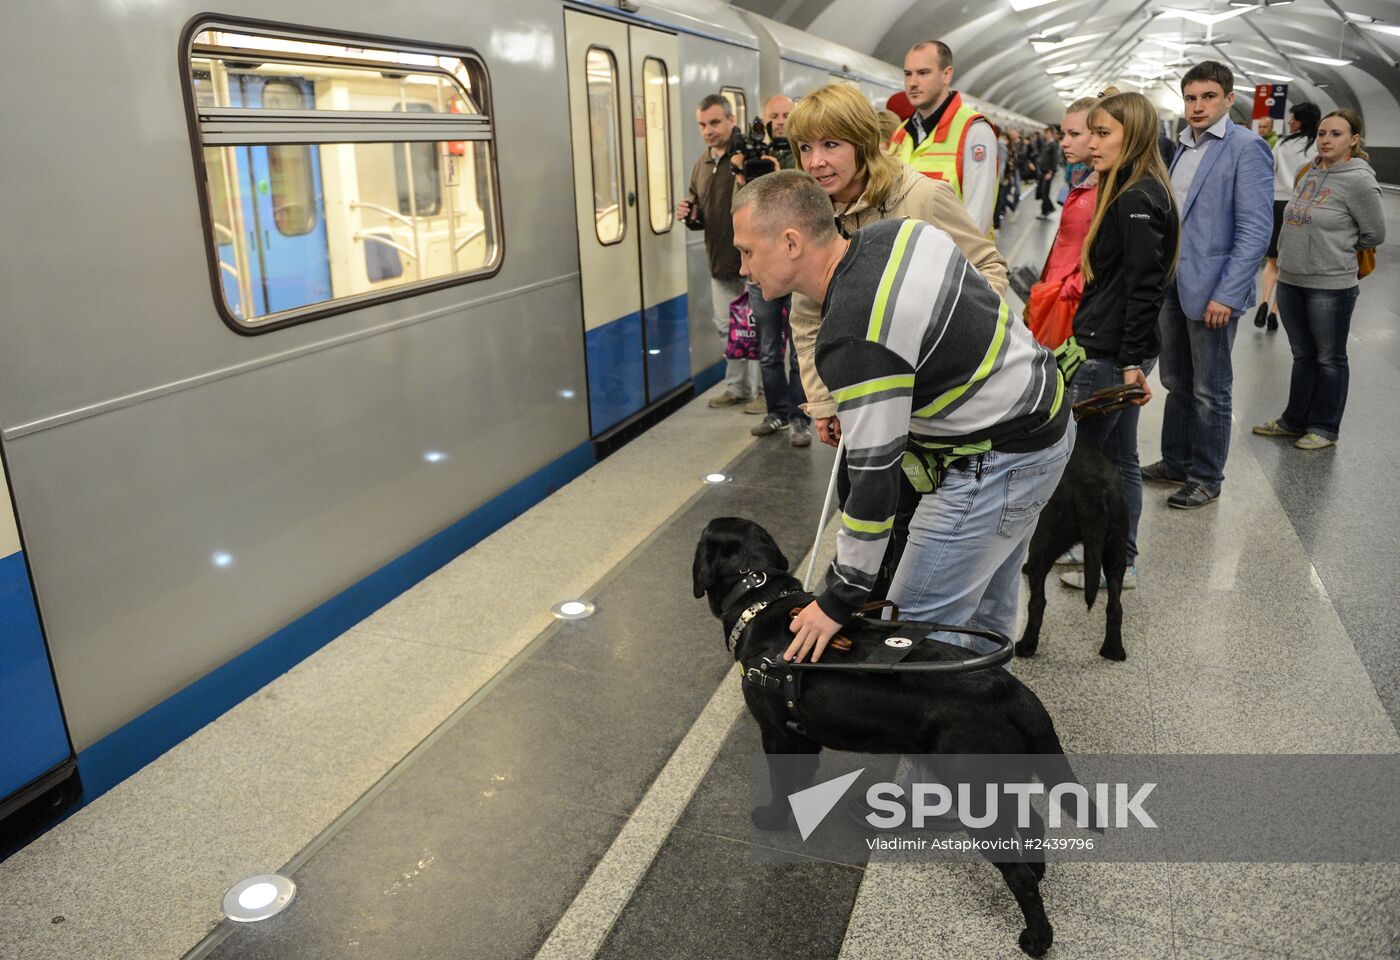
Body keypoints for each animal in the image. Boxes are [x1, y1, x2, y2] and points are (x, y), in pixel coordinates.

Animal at [694, 514, 1086, 957]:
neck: (758, 599)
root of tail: (1012, 690)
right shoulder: (803, 738)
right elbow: (800, 781)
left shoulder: (776, 736)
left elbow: (781, 787)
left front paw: (775, 819)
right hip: (1001, 781)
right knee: (1033, 824)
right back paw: (1038, 871)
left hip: (975, 791)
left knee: (1017, 874)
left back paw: (1037, 936)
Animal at [1024, 433, 1131, 666]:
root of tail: (1093, 492)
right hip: (1116, 553)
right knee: (1115, 607)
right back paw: (1113, 650)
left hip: (1044, 541)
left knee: (1038, 602)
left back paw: (1026, 646)